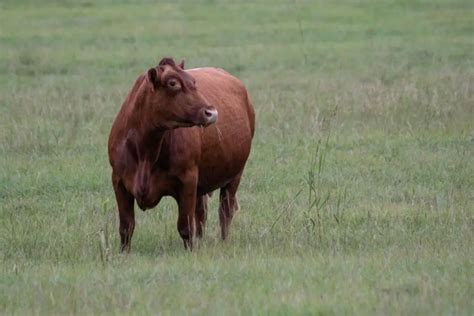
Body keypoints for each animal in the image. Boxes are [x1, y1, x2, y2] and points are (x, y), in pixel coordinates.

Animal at [108, 57, 256, 252]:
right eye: (173, 83)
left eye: (193, 82)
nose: (212, 113)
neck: (145, 151)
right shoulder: (119, 181)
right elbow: (126, 227)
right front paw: (124, 254)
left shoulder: (188, 180)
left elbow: (185, 226)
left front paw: (190, 252)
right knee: (201, 213)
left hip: (234, 175)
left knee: (225, 212)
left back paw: (223, 242)